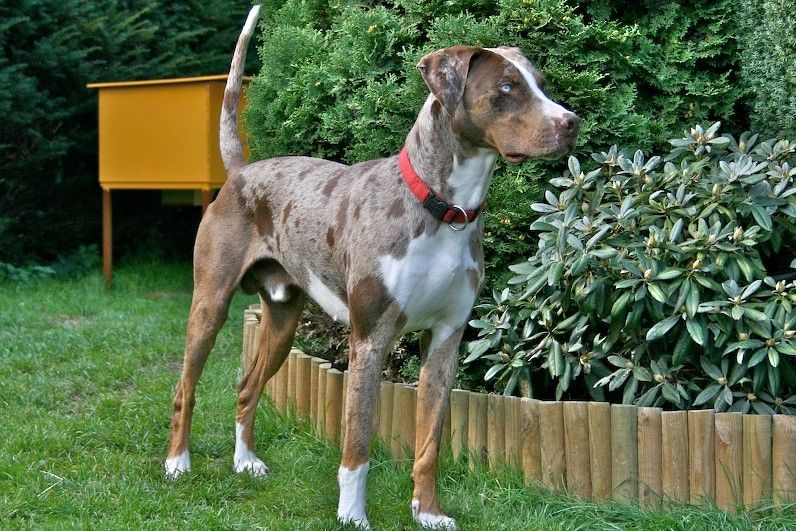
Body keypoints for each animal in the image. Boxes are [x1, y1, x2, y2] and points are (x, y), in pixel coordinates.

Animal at [166, 5, 580, 531]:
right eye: (507, 87)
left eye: (540, 83)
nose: (573, 122)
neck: (443, 210)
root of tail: (241, 172)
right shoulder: (370, 340)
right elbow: (357, 445)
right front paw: (352, 516)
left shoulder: (445, 341)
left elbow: (429, 444)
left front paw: (428, 512)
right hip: (210, 305)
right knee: (186, 386)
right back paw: (177, 462)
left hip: (282, 320)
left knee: (246, 387)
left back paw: (245, 461)